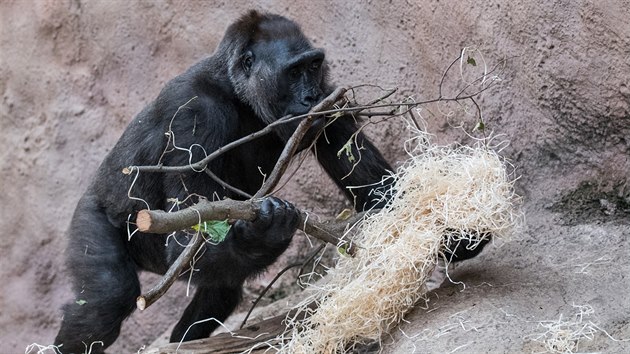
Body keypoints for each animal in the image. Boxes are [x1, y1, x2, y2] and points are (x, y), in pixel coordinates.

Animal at [54, 9, 488, 352]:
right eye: (293, 72)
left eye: (313, 67)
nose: (309, 95)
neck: (236, 92)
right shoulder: (193, 113)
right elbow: (188, 235)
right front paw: (267, 233)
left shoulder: (329, 98)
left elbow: (376, 190)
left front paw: (452, 231)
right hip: (94, 214)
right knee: (106, 300)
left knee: (221, 287)